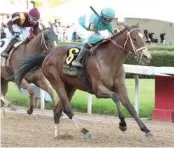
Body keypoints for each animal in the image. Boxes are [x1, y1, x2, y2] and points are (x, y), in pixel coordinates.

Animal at [14, 25, 152, 139]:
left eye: (145, 38)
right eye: (134, 39)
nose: (147, 57)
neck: (108, 61)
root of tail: (47, 56)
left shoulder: (121, 88)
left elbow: (131, 107)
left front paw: (146, 129)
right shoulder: (98, 89)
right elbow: (115, 96)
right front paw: (122, 124)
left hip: (70, 86)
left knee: (58, 110)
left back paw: (58, 134)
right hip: (56, 81)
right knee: (67, 108)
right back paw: (85, 131)